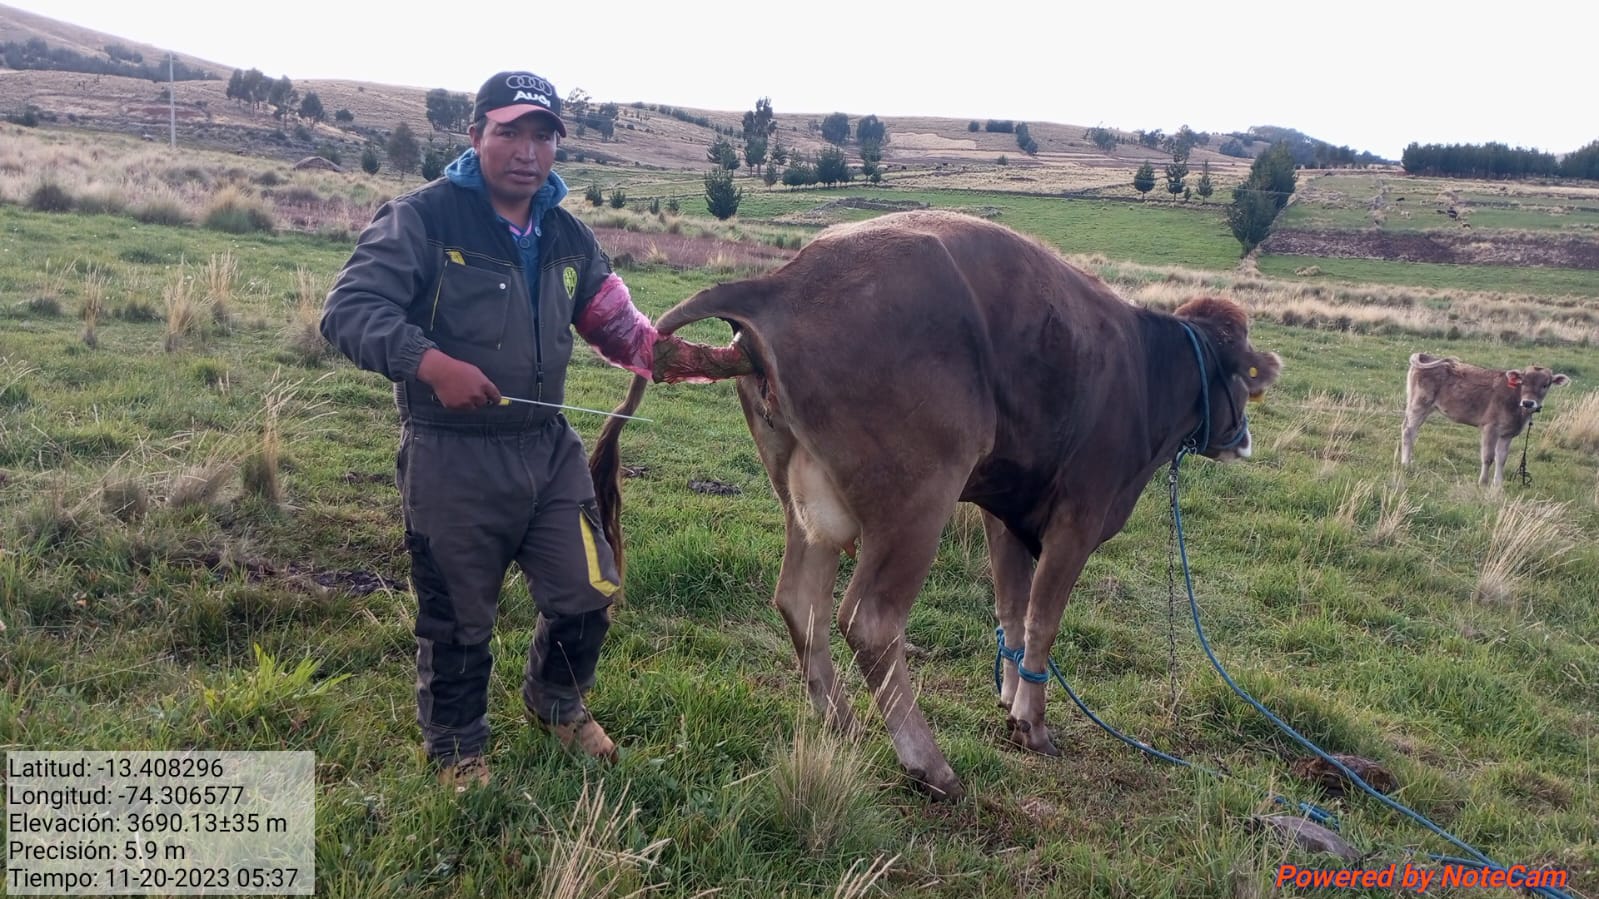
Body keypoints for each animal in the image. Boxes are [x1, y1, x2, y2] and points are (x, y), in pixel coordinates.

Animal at [594, 211, 1279, 796]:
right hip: (918, 500)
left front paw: (1008, 697)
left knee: (799, 601)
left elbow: (1011, 609)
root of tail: (783, 280)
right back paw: (928, 764)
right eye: (1244, 376)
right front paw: (1032, 723)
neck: (1148, 374)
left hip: (807, 499)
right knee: (869, 621)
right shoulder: (1079, 516)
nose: (1243, 437)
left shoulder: (1006, 510)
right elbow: (1043, 619)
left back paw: (841, 724)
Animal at [1407, 353, 1567, 486]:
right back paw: (1406, 464)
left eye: (1545, 385)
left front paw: (1498, 485)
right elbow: (1488, 457)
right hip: (1420, 403)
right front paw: (1483, 483)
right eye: (1523, 382)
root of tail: (1427, 356)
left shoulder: (1507, 433)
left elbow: (1501, 459)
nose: (1528, 402)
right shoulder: (1490, 427)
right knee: (1408, 431)